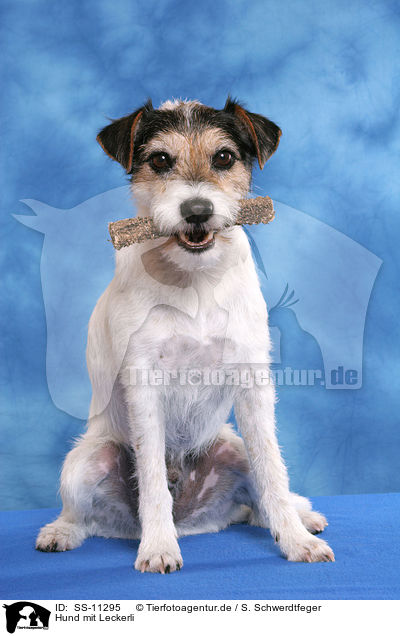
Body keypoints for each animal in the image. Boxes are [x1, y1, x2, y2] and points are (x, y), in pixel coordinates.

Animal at [36, 98, 332, 572]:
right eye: (160, 160)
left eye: (224, 157)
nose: (197, 211)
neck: (194, 281)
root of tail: (194, 521)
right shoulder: (143, 385)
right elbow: (152, 479)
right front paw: (158, 546)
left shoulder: (253, 382)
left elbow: (273, 471)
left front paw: (295, 539)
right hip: (87, 459)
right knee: (84, 516)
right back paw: (61, 532)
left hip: (232, 447)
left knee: (256, 502)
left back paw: (300, 515)